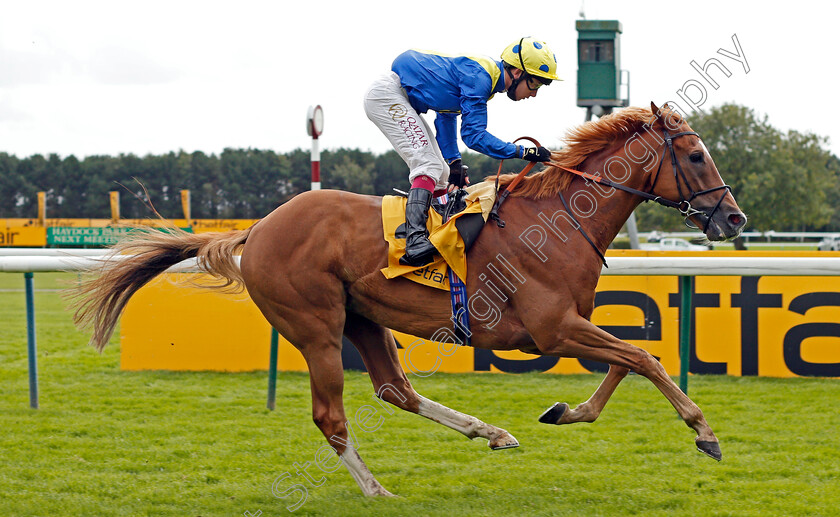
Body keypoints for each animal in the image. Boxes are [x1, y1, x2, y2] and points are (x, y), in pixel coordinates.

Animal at [70, 102, 740, 496]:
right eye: (696, 154)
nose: (733, 218)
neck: (558, 219)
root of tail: (255, 229)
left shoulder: (569, 324)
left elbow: (630, 361)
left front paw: (564, 411)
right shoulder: (553, 328)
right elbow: (644, 358)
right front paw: (705, 433)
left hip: (365, 319)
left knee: (396, 390)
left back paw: (489, 431)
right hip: (315, 326)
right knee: (332, 415)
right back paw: (376, 491)